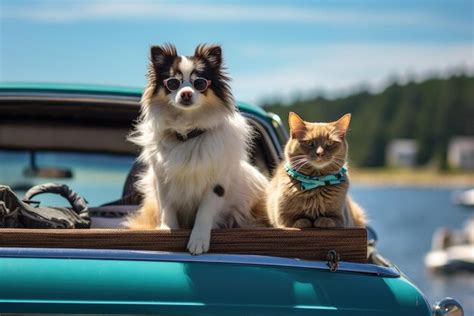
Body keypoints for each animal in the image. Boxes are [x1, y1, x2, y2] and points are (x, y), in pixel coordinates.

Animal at [124, 43, 268, 254]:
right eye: (173, 83)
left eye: (199, 83)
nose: (186, 93)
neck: (187, 134)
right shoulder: (163, 181)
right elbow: (167, 209)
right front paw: (166, 230)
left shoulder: (216, 184)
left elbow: (204, 213)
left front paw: (198, 240)